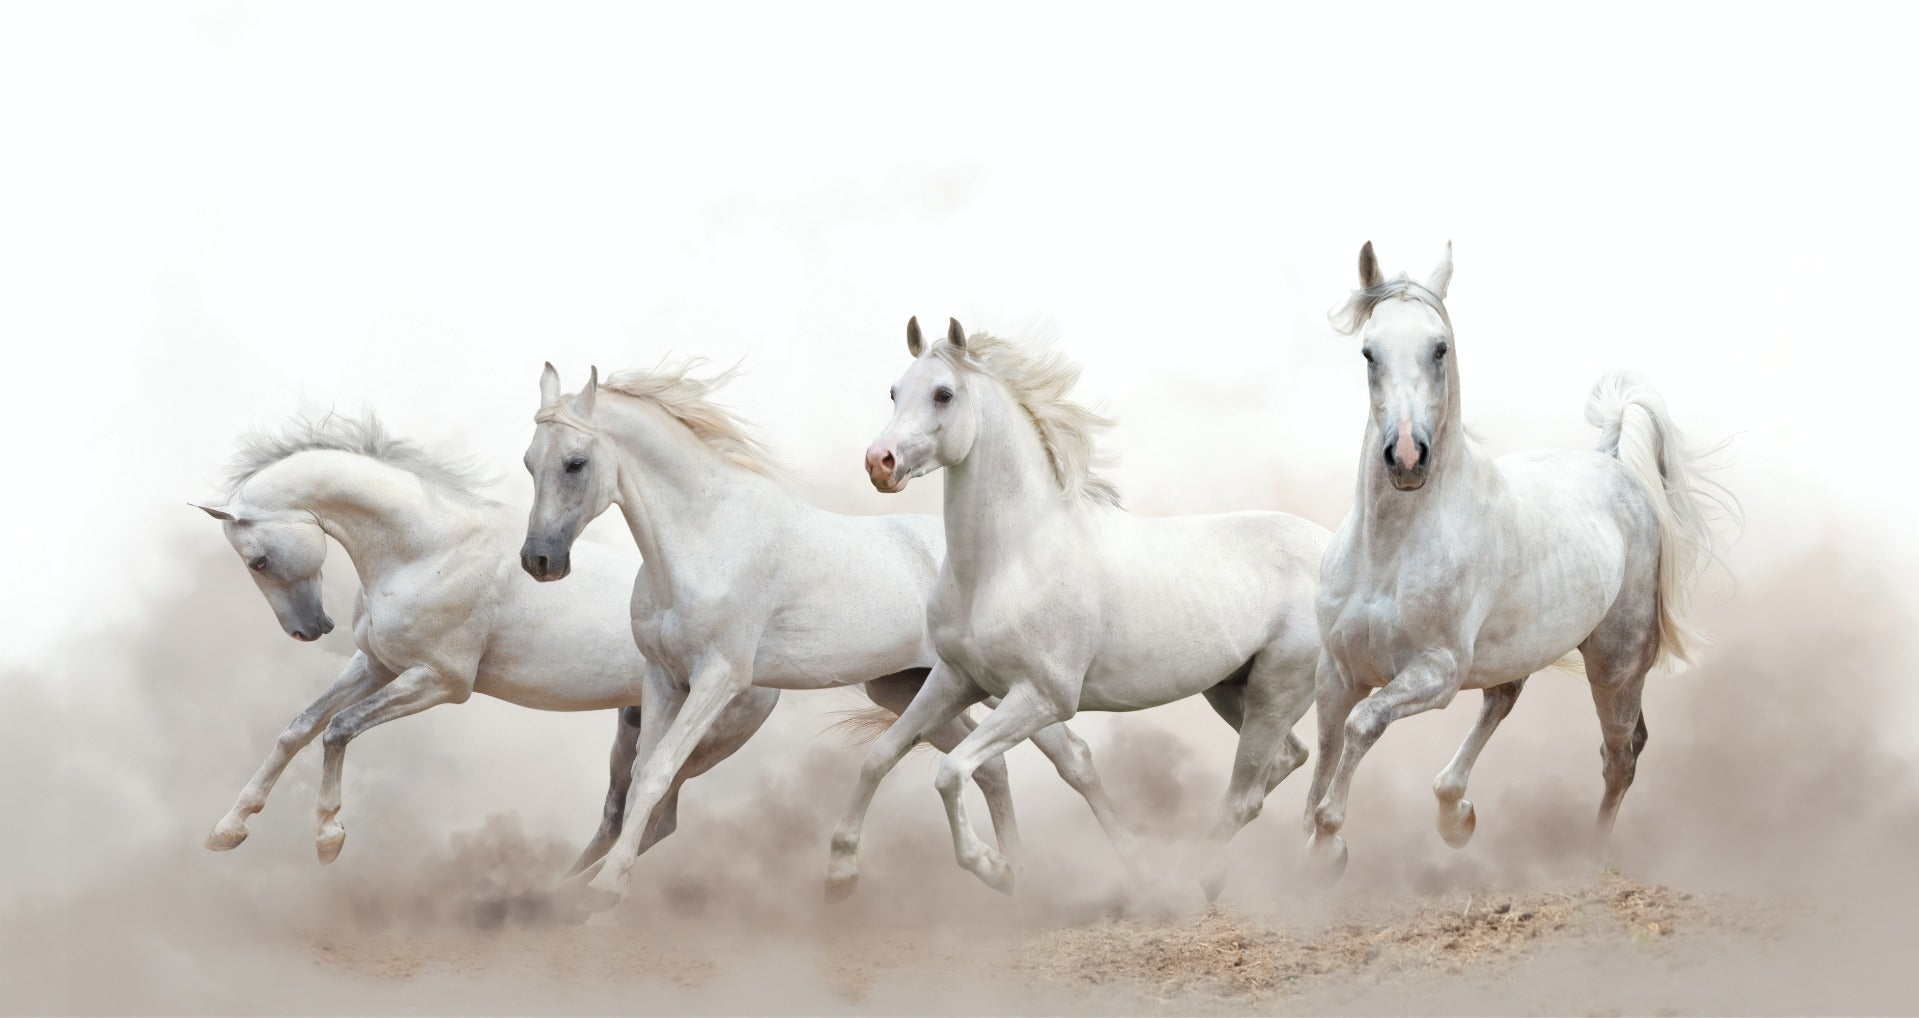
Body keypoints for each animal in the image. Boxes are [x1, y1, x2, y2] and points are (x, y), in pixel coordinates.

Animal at [192, 414, 781, 873]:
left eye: (257, 560)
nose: (310, 629)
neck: (429, 548)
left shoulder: (441, 681)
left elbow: (338, 729)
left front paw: (328, 838)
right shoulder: (377, 665)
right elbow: (298, 728)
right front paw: (228, 830)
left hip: (694, 743)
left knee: (655, 817)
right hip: (635, 726)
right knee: (623, 812)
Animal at [518, 360, 1137, 911]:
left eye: (575, 463)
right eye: (528, 462)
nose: (539, 561)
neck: (707, 539)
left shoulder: (719, 678)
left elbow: (656, 776)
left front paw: (606, 890)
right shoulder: (662, 679)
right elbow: (643, 775)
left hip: (1003, 684)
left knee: (1072, 758)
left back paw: (1136, 875)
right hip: (910, 688)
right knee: (989, 766)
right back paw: (1008, 877)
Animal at [846, 318, 1330, 900]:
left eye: (943, 394)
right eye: (895, 391)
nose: (880, 462)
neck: (1010, 561)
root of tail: (1335, 549)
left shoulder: (1042, 697)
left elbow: (952, 771)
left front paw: (995, 869)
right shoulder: (955, 679)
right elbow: (880, 757)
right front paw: (838, 871)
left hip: (1277, 692)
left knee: (1245, 792)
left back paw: (1186, 883)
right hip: (1229, 689)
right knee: (1283, 762)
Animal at [1304, 242, 1733, 879]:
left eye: (1440, 347)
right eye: (1368, 351)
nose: (1406, 457)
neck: (1389, 554)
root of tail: (1614, 466)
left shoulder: (1436, 672)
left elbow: (1363, 725)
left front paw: (1330, 842)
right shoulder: (1336, 670)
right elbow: (1326, 753)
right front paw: (1308, 849)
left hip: (1615, 663)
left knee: (1621, 753)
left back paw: (1589, 860)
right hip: (1521, 647)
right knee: (1504, 701)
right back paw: (1455, 813)